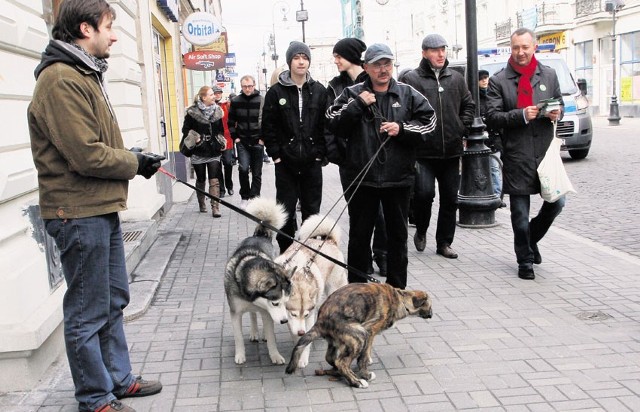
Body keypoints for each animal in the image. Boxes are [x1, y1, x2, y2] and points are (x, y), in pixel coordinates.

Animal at [286, 282, 432, 388]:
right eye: (430, 306)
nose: (431, 315)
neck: (400, 298)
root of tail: (320, 321)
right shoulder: (369, 330)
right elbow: (364, 356)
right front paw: (364, 374)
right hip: (358, 334)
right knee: (341, 362)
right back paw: (356, 381)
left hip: (336, 340)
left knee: (331, 358)